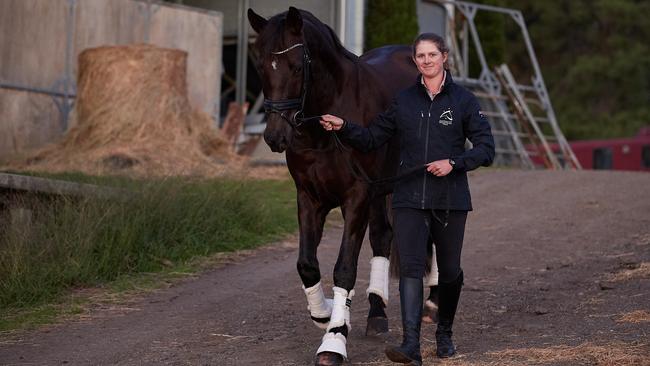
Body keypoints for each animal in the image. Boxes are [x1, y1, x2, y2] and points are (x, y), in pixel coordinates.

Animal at [246, 6, 418, 366]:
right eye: (260, 65)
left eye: (297, 67)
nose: (274, 136)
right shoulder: (310, 198)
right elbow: (307, 265)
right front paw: (323, 313)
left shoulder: (356, 196)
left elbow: (344, 269)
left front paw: (334, 341)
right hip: (381, 192)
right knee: (382, 237)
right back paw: (377, 315)